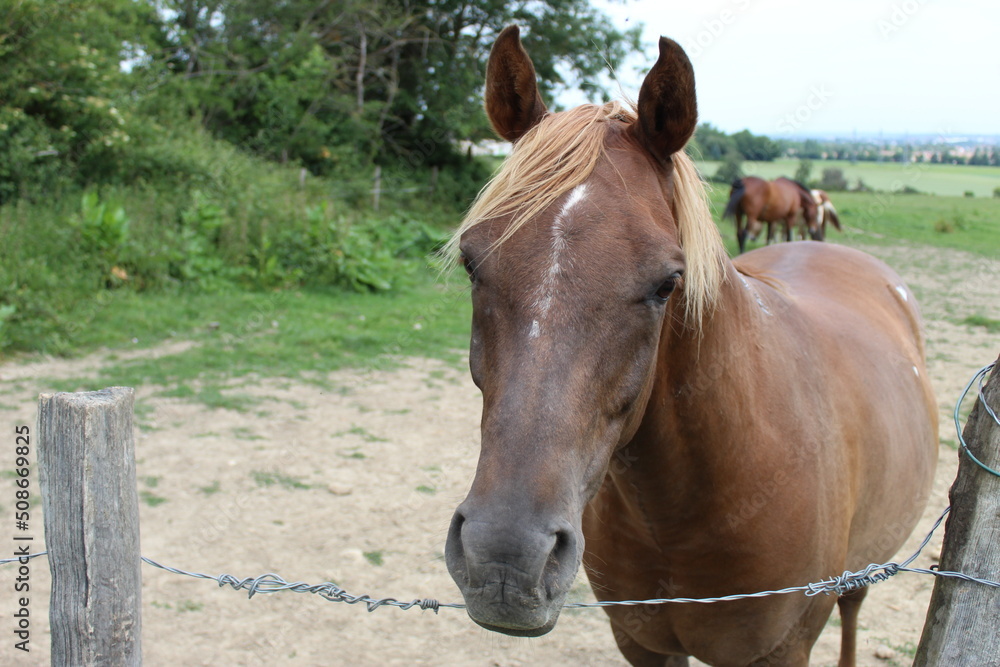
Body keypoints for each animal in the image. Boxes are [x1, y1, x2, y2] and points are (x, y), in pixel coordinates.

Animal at [446, 23, 936, 664]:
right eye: (472, 263)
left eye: (667, 283)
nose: (505, 559)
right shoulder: (640, 640)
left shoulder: (781, 649)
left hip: (862, 568)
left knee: (853, 608)